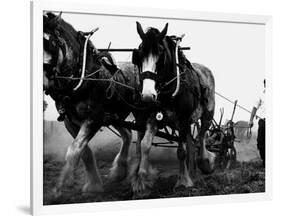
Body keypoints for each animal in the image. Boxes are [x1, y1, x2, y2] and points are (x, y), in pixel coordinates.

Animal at [43, 12, 140, 197]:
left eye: (50, 43)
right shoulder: (70, 122)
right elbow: (84, 152)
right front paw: (94, 185)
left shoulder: (94, 119)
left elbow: (74, 151)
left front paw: (59, 187)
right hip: (114, 115)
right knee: (127, 134)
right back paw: (118, 172)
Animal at [130, 22, 215, 196]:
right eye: (139, 54)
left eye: (160, 53)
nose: (147, 95)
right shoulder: (153, 118)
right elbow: (144, 145)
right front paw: (141, 181)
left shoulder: (182, 119)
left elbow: (181, 152)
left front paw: (183, 181)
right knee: (191, 144)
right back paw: (194, 173)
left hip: (207, 115)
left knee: (201, 137)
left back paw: (204, 162)